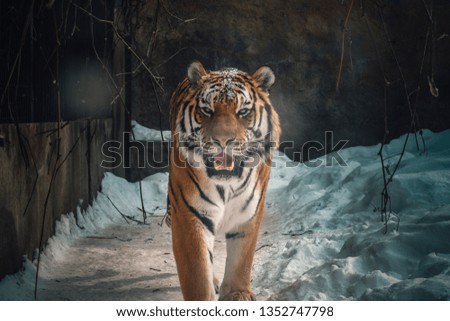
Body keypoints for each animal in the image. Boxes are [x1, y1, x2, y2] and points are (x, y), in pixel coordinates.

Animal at [166, 60, 278, 300]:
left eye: (242, 111)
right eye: (207, 111)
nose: (223, 141)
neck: (227, 184)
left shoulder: (248, 214)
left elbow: (241, 259)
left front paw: (238, 294)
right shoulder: (190, 214)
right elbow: (197, 271)